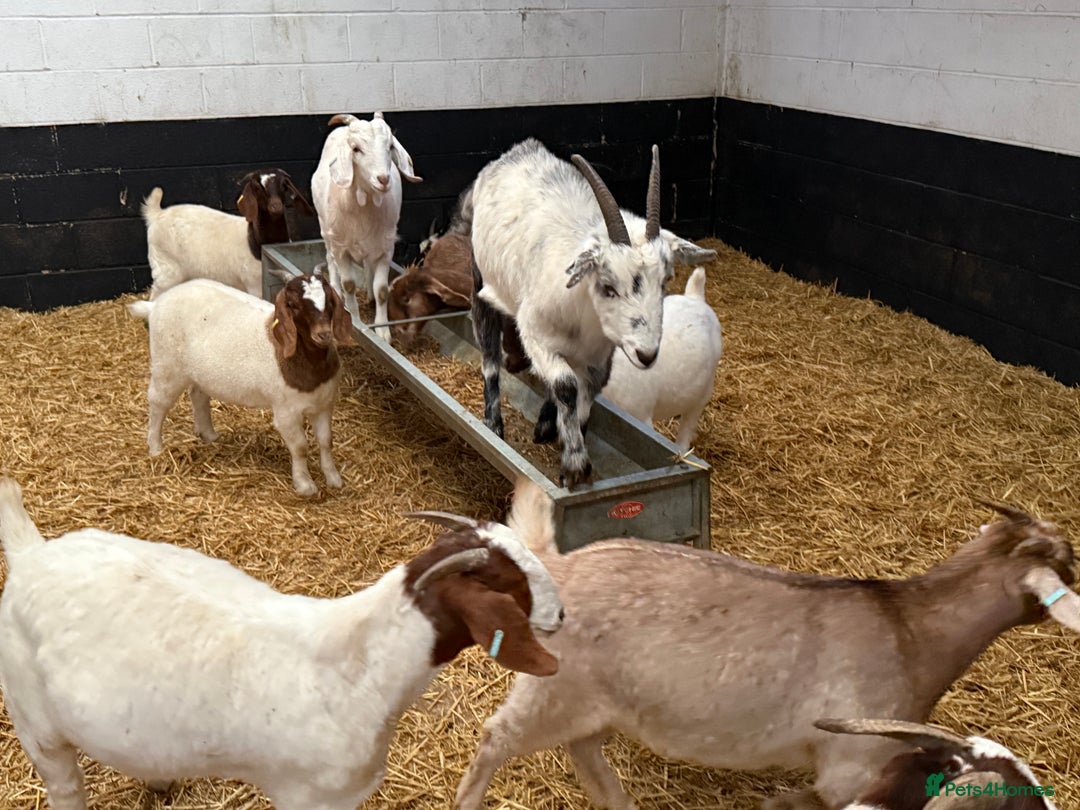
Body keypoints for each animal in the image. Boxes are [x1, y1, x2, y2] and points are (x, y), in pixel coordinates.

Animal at [0, 477, 563, 810]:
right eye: (510, 583)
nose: (559, 613)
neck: (358, 666)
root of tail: (32, 553)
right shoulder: (310, 799)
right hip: (35, 721)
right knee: (64, 786)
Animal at [126, 273, 355, 496]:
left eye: (329, 301)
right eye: (293, 305)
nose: (324, 334)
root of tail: (155, 305)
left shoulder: (324, 404)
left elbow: (326, 440)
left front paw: (333, 478)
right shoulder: (286, 412)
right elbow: (300, 447)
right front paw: (305, 485)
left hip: (199, 372)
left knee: (198, 395)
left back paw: (208, 434)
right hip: (166, 365)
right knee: (158, 403)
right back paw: (155, 448)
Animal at [143, 169, 313, 299]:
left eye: (284, 186)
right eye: (257, 188)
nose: (275, 206)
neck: (254, 241)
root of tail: (157, 214)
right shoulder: (255, 286)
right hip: (165, 269)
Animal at [311, 111, 422, 342]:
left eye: (390, 146)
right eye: (356, 149)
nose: (383, 179)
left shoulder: (386, 247)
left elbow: (382, 289)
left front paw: (382, 331)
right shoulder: (342, 248)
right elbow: (349, 284)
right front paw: (355, 318)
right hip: (326, 231)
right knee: (330, 259)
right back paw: (335, 288)